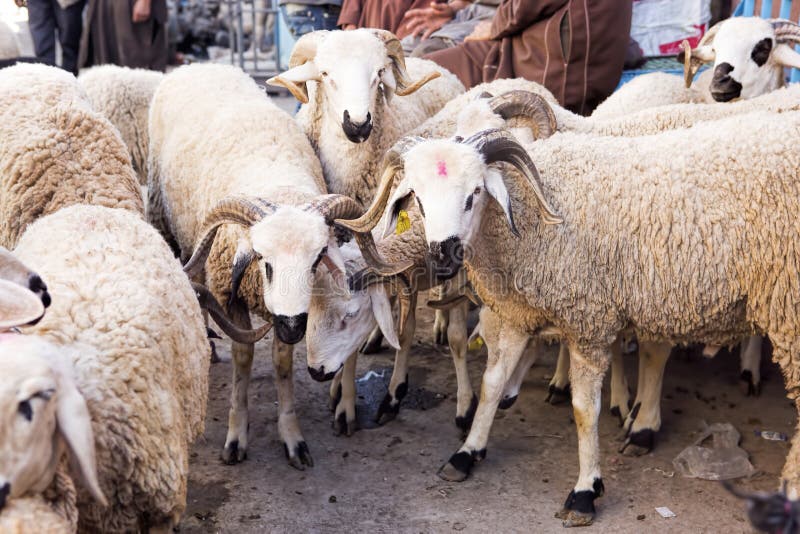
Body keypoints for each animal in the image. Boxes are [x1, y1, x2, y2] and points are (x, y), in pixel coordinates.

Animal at [148, 63, 403, 467]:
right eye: (264, 261)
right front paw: (236, 435)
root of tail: (198, 64)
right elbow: (243, 359)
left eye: (317, 259)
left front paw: (292, 436)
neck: (279, 185)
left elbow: (283, 364)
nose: (294, 326)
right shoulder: (229, 295)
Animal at [336, 104, 800, 526]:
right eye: (417, 198)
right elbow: (491, 383)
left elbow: (583, 409)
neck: (529, 215)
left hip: (787, 308)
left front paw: (585, 491)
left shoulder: (588, 321)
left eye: (474, 194)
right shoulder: (519, 314)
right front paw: (467, 452)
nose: (443, 255)